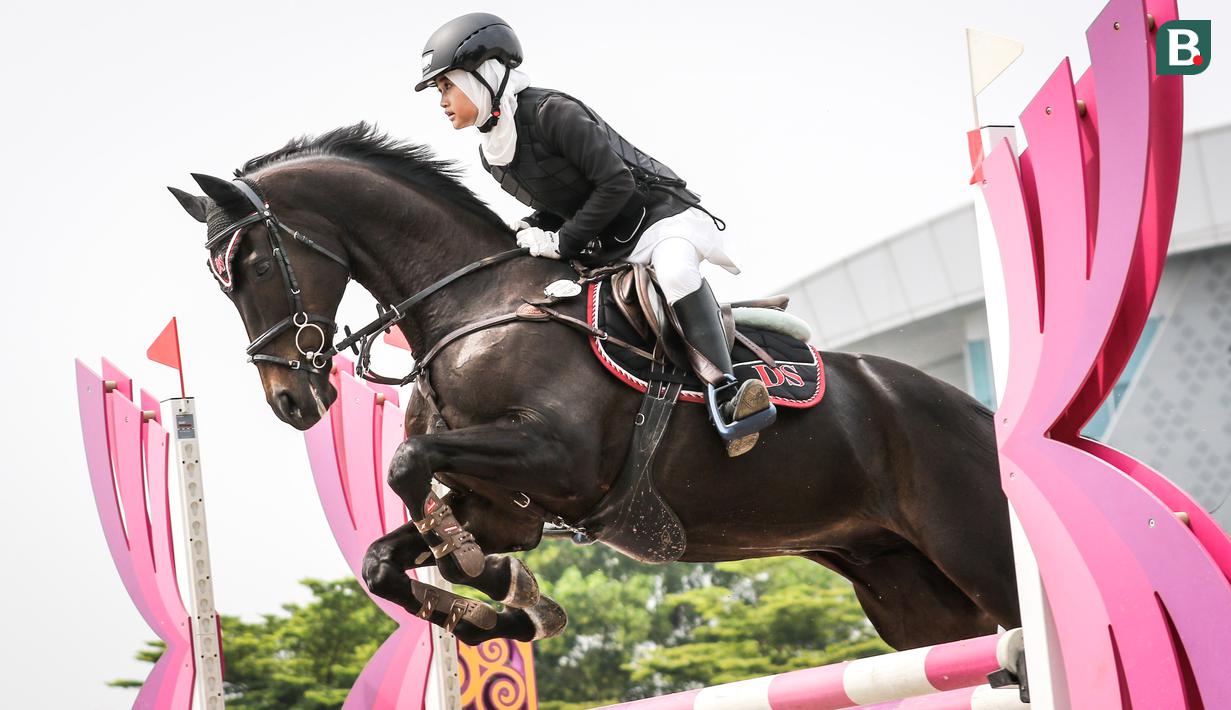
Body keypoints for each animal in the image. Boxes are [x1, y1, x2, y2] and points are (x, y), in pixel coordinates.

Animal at [169, 123, 1019, 650]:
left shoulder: (558, 460)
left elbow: (408, 469)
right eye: (220, 279)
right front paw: (505, 605)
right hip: (913, 599)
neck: (471, 306)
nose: (290, 400)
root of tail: (978, 413)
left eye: (250, 265)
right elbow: (387, 556)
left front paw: (486, 578)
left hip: (981, 557)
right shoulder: (501, 502)